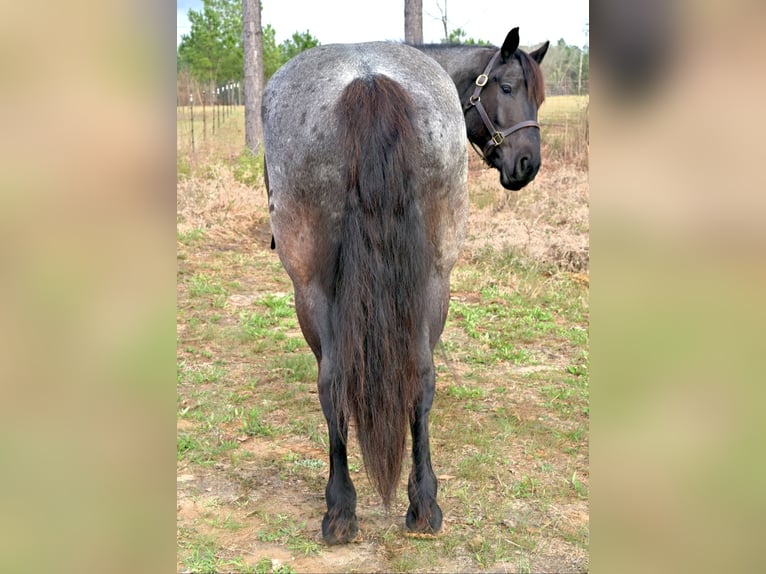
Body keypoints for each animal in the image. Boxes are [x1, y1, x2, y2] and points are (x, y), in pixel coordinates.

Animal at [262, 42, 469, 544]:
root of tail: (368, 79)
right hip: (435, 284)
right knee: (421, 378)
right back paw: (423, 506)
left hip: (310, 292)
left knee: (332, 384)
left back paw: (340, 508)